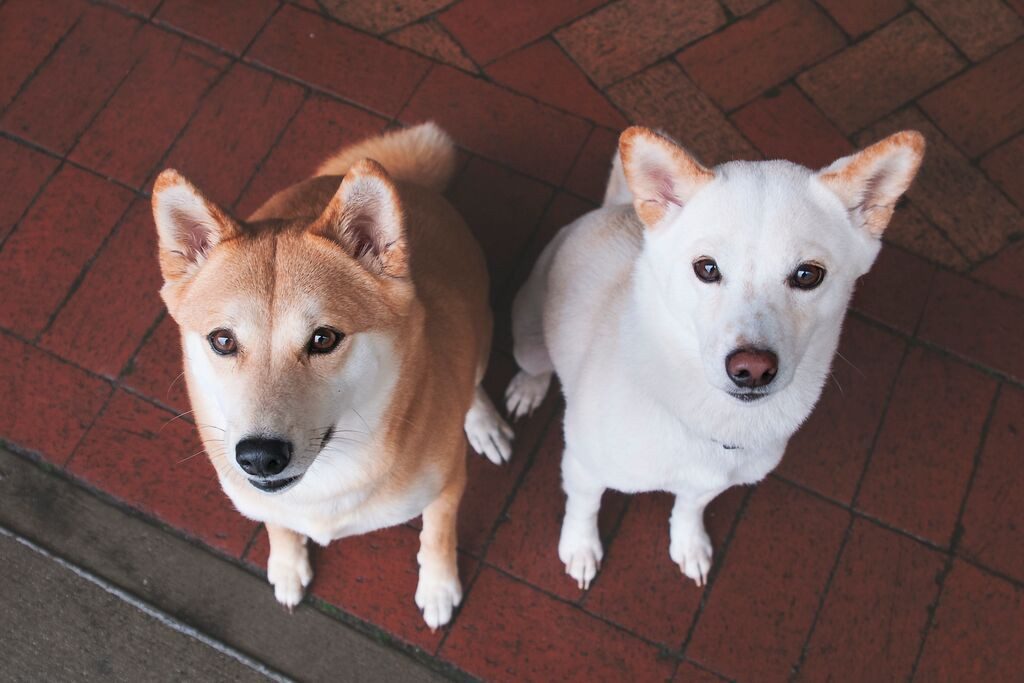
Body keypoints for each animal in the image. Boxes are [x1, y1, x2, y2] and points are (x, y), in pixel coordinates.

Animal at [507, 126, 925, 589]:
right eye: (706, 269)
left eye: (807, 275)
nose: (752, 368)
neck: (713, 422)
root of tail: (613, 210)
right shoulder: (583, 466)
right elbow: (584, 507)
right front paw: (580, 549)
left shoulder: (710, 485)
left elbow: (689, 508)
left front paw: (689, 545)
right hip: (530, 336)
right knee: (535, 366)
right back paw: (527, 389)